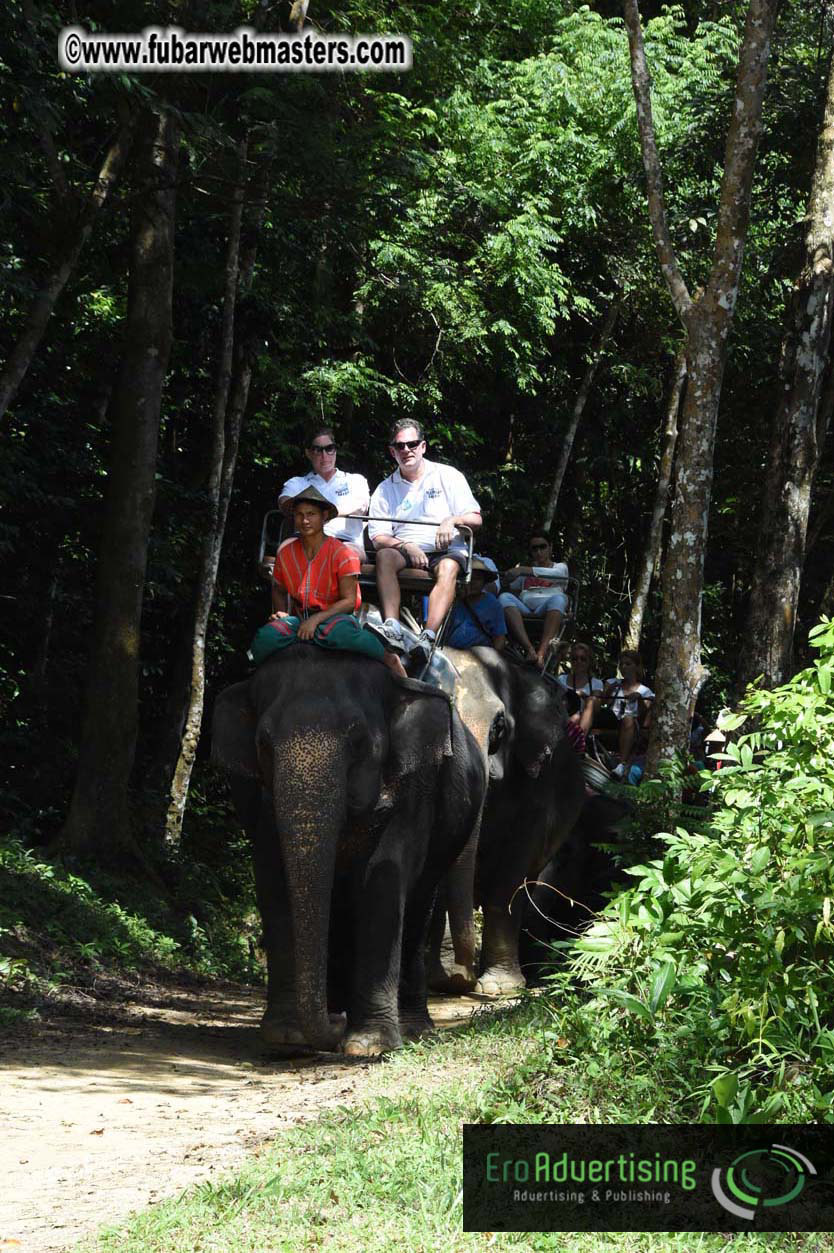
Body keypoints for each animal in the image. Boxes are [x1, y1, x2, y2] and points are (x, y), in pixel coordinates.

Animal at [211, 644, 486, 1056]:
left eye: (360, 744)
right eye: (263, 746)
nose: (336, 1027)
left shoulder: (416, 784)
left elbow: (384, 875)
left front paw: (367, 1045)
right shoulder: (255, 796)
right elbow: (273, 879)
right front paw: (286, 1037)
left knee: (418, 904)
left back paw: (411, 1029)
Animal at [427, 647, 587, 997]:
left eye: (498, 727)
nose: (459, 976)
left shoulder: (536, 780)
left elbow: (511, 870)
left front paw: (500, 988)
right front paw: (443, 979)